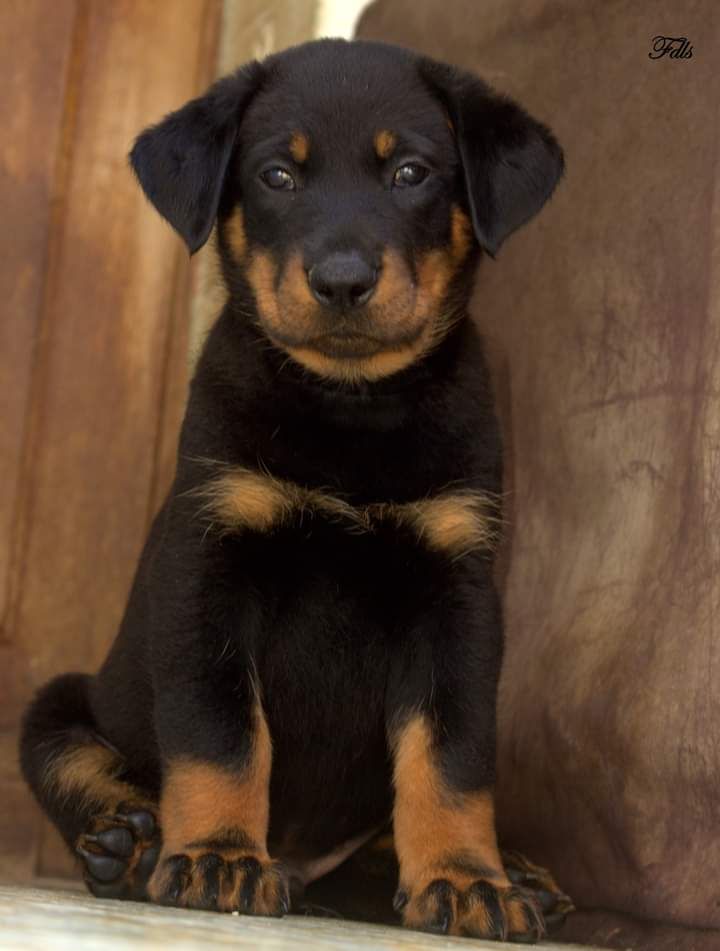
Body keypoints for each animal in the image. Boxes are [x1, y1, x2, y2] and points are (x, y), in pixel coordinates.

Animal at [18, 39, 568, 944]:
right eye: (277, 175)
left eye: (411, 172)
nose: (341, 279)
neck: (349, 405)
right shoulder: (208, 568)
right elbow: (222, 733)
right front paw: (218, 856)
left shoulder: (456, 592)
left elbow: (450, 756)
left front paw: (464, 877)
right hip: (59, 705)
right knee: (80, 766)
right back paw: (132, 844)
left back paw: (516, 873)